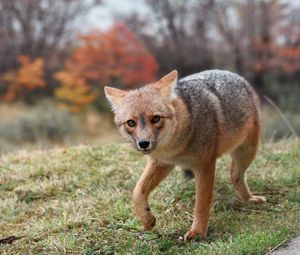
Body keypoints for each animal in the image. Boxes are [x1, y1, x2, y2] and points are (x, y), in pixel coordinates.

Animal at [104, 70, 266, 241]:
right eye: (131, 123)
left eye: (156, 118)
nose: (143, 143)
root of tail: (234, 74)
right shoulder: (162, 163)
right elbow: (136, 192)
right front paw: (147, 220)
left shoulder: (204, 166)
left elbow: (201, 204)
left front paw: (198, 232)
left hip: (247, 151)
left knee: (235, 175)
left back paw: (249, 199)